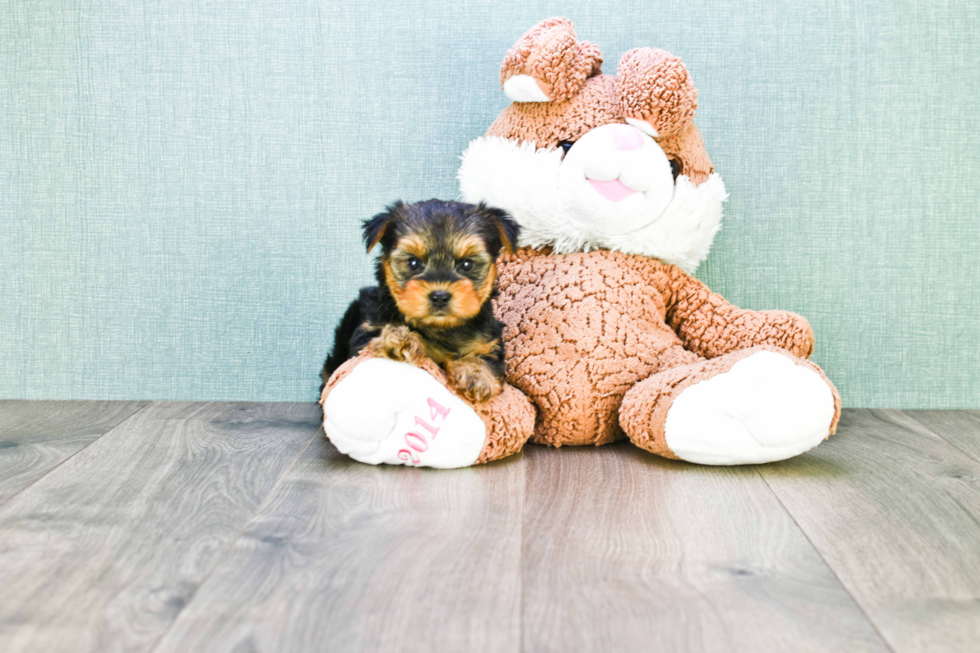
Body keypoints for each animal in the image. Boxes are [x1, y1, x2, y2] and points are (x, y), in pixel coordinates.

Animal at [322, 199, 520, 402]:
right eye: (413, 263)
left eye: (467, 264)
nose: (440, 296)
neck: (440, 327)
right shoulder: (365, 334)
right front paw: (401, 339)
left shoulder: (489, 341)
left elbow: (486, 358)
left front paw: (475, 375)